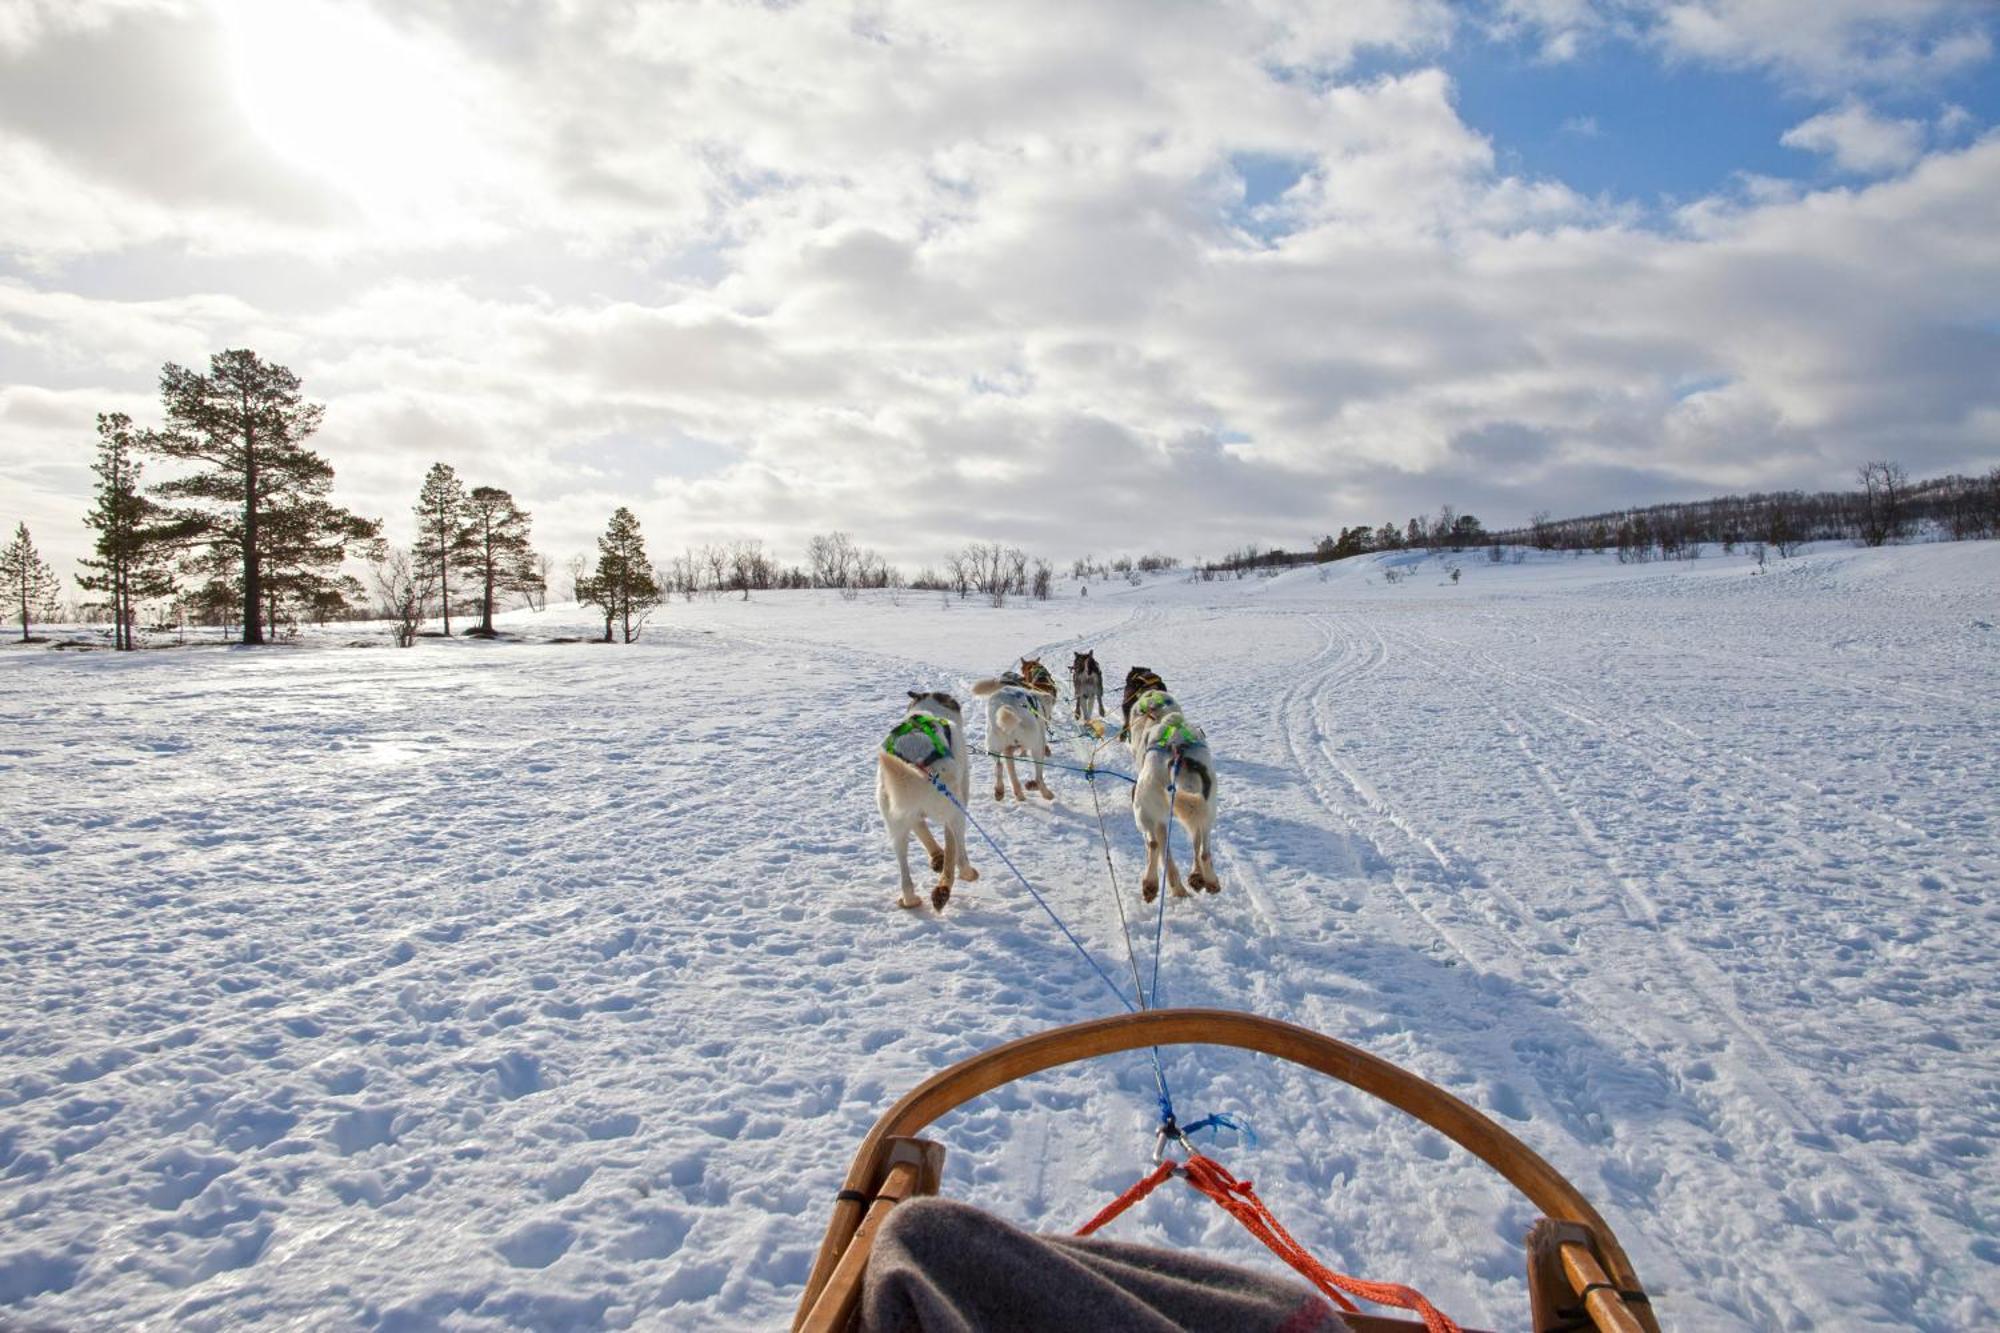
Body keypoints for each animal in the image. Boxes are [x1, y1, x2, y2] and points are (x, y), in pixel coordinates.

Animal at [880, 688, 980, 908]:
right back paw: (968, 873)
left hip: (895, 822)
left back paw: (909, 899)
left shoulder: (912, 815)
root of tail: (916, 762)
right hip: (956, 810)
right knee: (960, 855)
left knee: (904, 871)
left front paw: (937, 857)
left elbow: (927, 837)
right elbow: (950, 850)